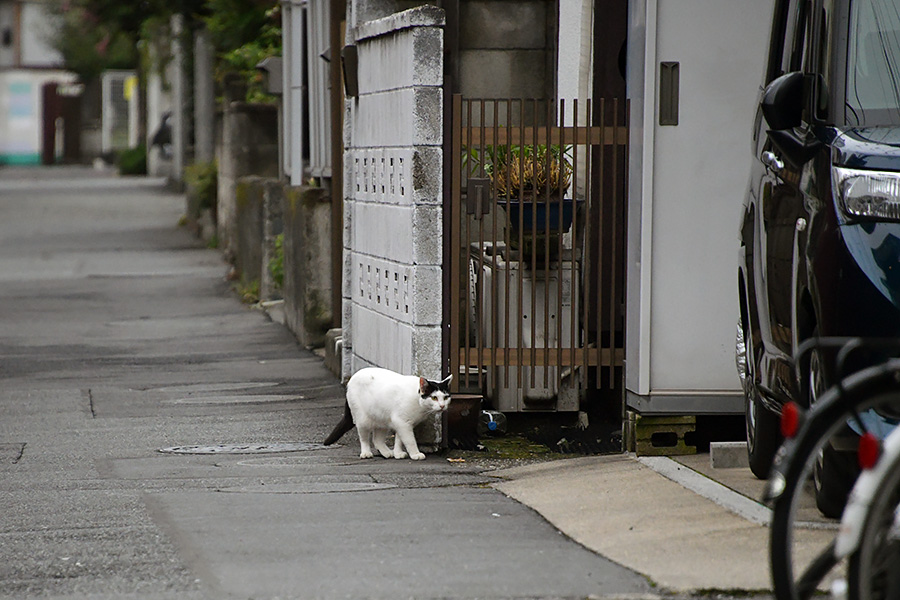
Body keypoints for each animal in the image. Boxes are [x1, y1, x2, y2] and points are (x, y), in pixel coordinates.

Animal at [322, 366, 450, 460]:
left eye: (446, 397)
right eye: (434, 398)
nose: (442, 406)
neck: (418, 402)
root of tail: (350, 380)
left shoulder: (400, 423)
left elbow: (399, 439)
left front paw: (398, 453)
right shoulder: (402, 422)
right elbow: (409, 440)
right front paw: (415, 454)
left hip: (381, 419)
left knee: (377, 440)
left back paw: (387, 452)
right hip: (363, 419)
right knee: (364, 438)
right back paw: (366, 453)